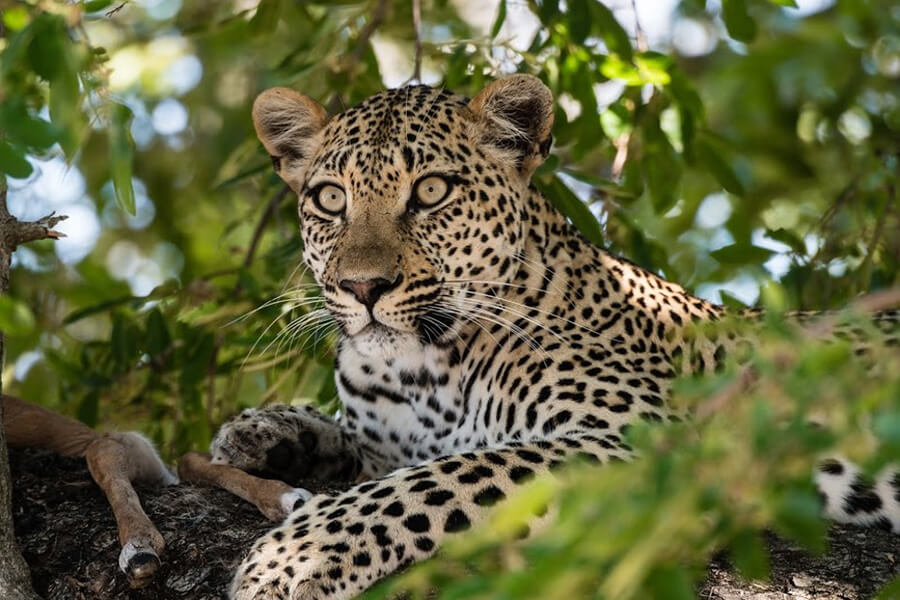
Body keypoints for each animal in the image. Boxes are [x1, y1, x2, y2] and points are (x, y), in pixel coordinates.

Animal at [210, 74, 900, 599]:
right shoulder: (386, 439)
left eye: (431, 191)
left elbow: (427, 483)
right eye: (330, 199)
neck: (418, 371)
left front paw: (289, 560)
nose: (363, 287)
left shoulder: (649, 438)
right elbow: (358, 445)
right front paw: (262, 430)